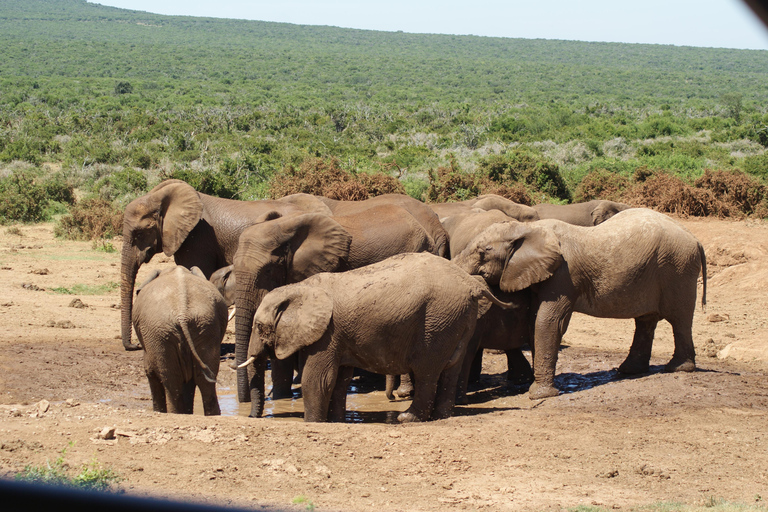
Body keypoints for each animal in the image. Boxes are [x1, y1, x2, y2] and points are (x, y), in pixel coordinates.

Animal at [132, 265, 232, 415]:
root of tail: (183, 315)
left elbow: (150, 371)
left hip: (161, 335)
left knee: (172, 382)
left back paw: (174, 413)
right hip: (205, 329)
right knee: (205, 380)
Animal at [240, 252, 515, 423]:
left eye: (260, 327)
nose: (250, 417)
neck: (299, 288)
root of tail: (471, 284)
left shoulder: (326, 334)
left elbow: (318, 380)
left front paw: (313, 423)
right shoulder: (338, 335)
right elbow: (339, 380)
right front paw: (336, 422)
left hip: (437, 320)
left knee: (427, 371)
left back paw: (407, 418)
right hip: (458, 318)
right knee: (451, 369)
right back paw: (441, 416)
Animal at [453, 208, 707, 400]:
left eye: (483, 252)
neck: (529, 229)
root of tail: (696, 239)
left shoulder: (563, 275)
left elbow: (548, 321)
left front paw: (539, 395)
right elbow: (535, 320)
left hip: (678, 268)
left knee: (679, 320)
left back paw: (677, 368)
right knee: (646, 321)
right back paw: (629, 370)